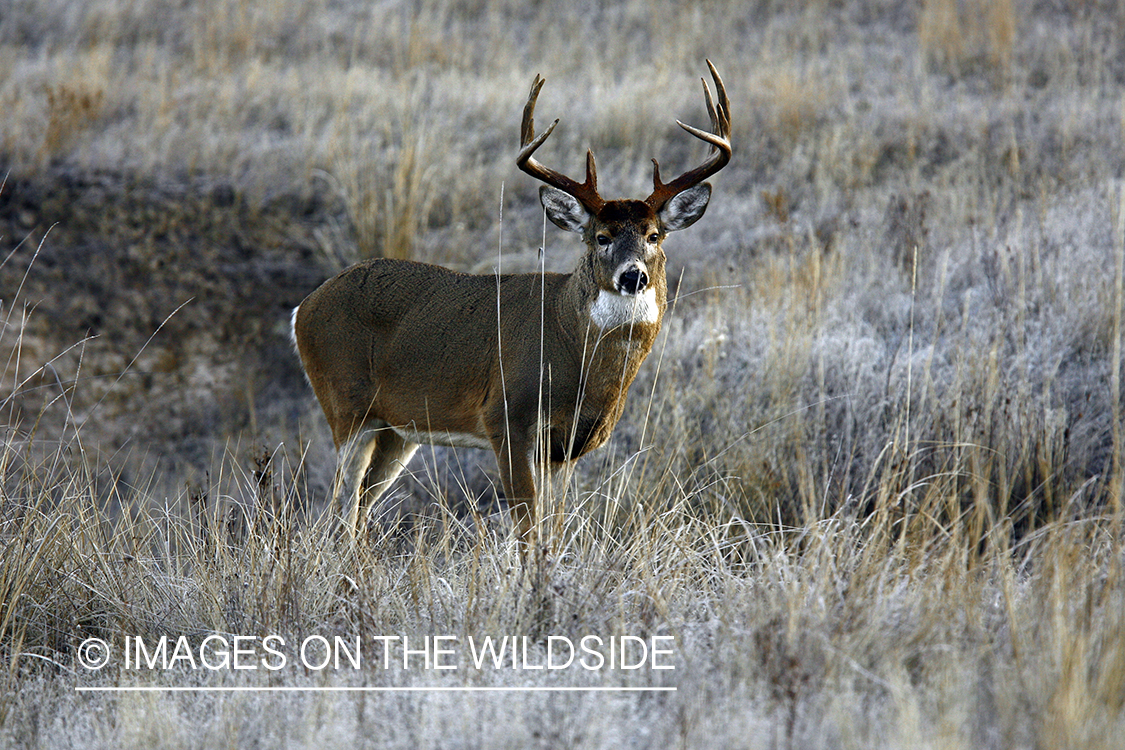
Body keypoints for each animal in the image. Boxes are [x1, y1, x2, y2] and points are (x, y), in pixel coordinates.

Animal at [290, 61, 729, 548]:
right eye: (601, 237)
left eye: (654, 235)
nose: (633, 276)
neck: (573, 352)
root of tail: (303, 308)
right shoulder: (506, 416)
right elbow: (526, 525)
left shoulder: (565, 447)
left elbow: (555, 522)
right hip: (345, 403)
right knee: (341, 501)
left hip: (398, 428)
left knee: (362, 499)